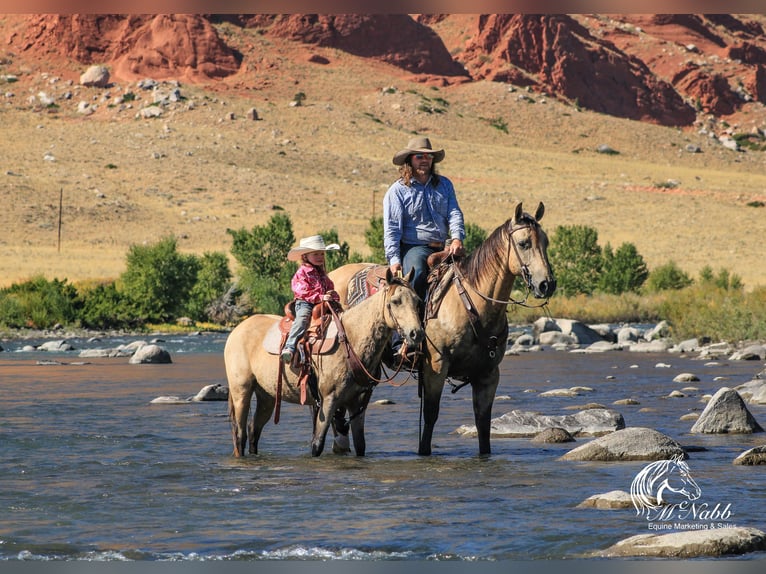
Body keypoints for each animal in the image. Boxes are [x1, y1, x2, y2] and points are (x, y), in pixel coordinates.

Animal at [225, 268, 424, 460]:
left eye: (417, 300)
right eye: (395, 301)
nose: (417, 333)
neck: (351, 340)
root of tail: (237, 329)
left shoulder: (358, 403)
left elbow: (360, 445)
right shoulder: (328, 400)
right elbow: (317, 444)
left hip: (267, 396)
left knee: (253, 430)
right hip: (241, 391)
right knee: (240, 434)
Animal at [330, 202, 560, 460]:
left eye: (546, 242)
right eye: (523, 243)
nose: (547, 284)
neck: (471, 303)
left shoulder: (489, 374)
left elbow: (483, 424)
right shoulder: (436, 367)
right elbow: (430, 416)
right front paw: (423, 452)